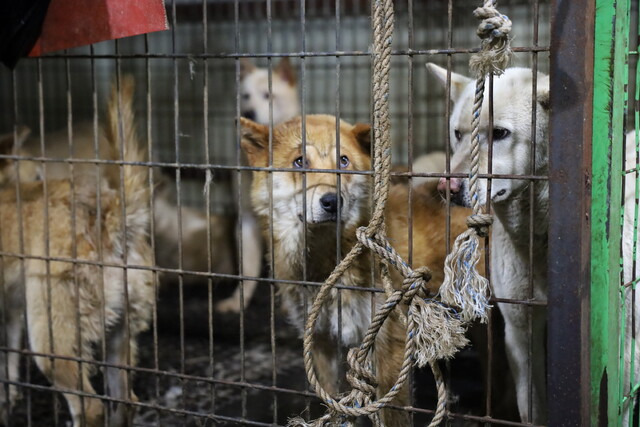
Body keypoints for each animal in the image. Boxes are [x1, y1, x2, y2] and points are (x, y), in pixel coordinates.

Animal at [0, 77, 152, 427]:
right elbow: (8, 364)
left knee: (91, 407)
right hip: (119, 335)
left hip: (51, 343)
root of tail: (108, 217)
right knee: (124, 402)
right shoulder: (11, 310)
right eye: (37, 175)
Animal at [240, 113, 470, 424]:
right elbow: (333, 403)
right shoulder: (320, 339)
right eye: (299, 162)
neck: (326, 264)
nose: (331, 201)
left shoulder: (390, 344)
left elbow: (392, 412)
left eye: (343, 161)